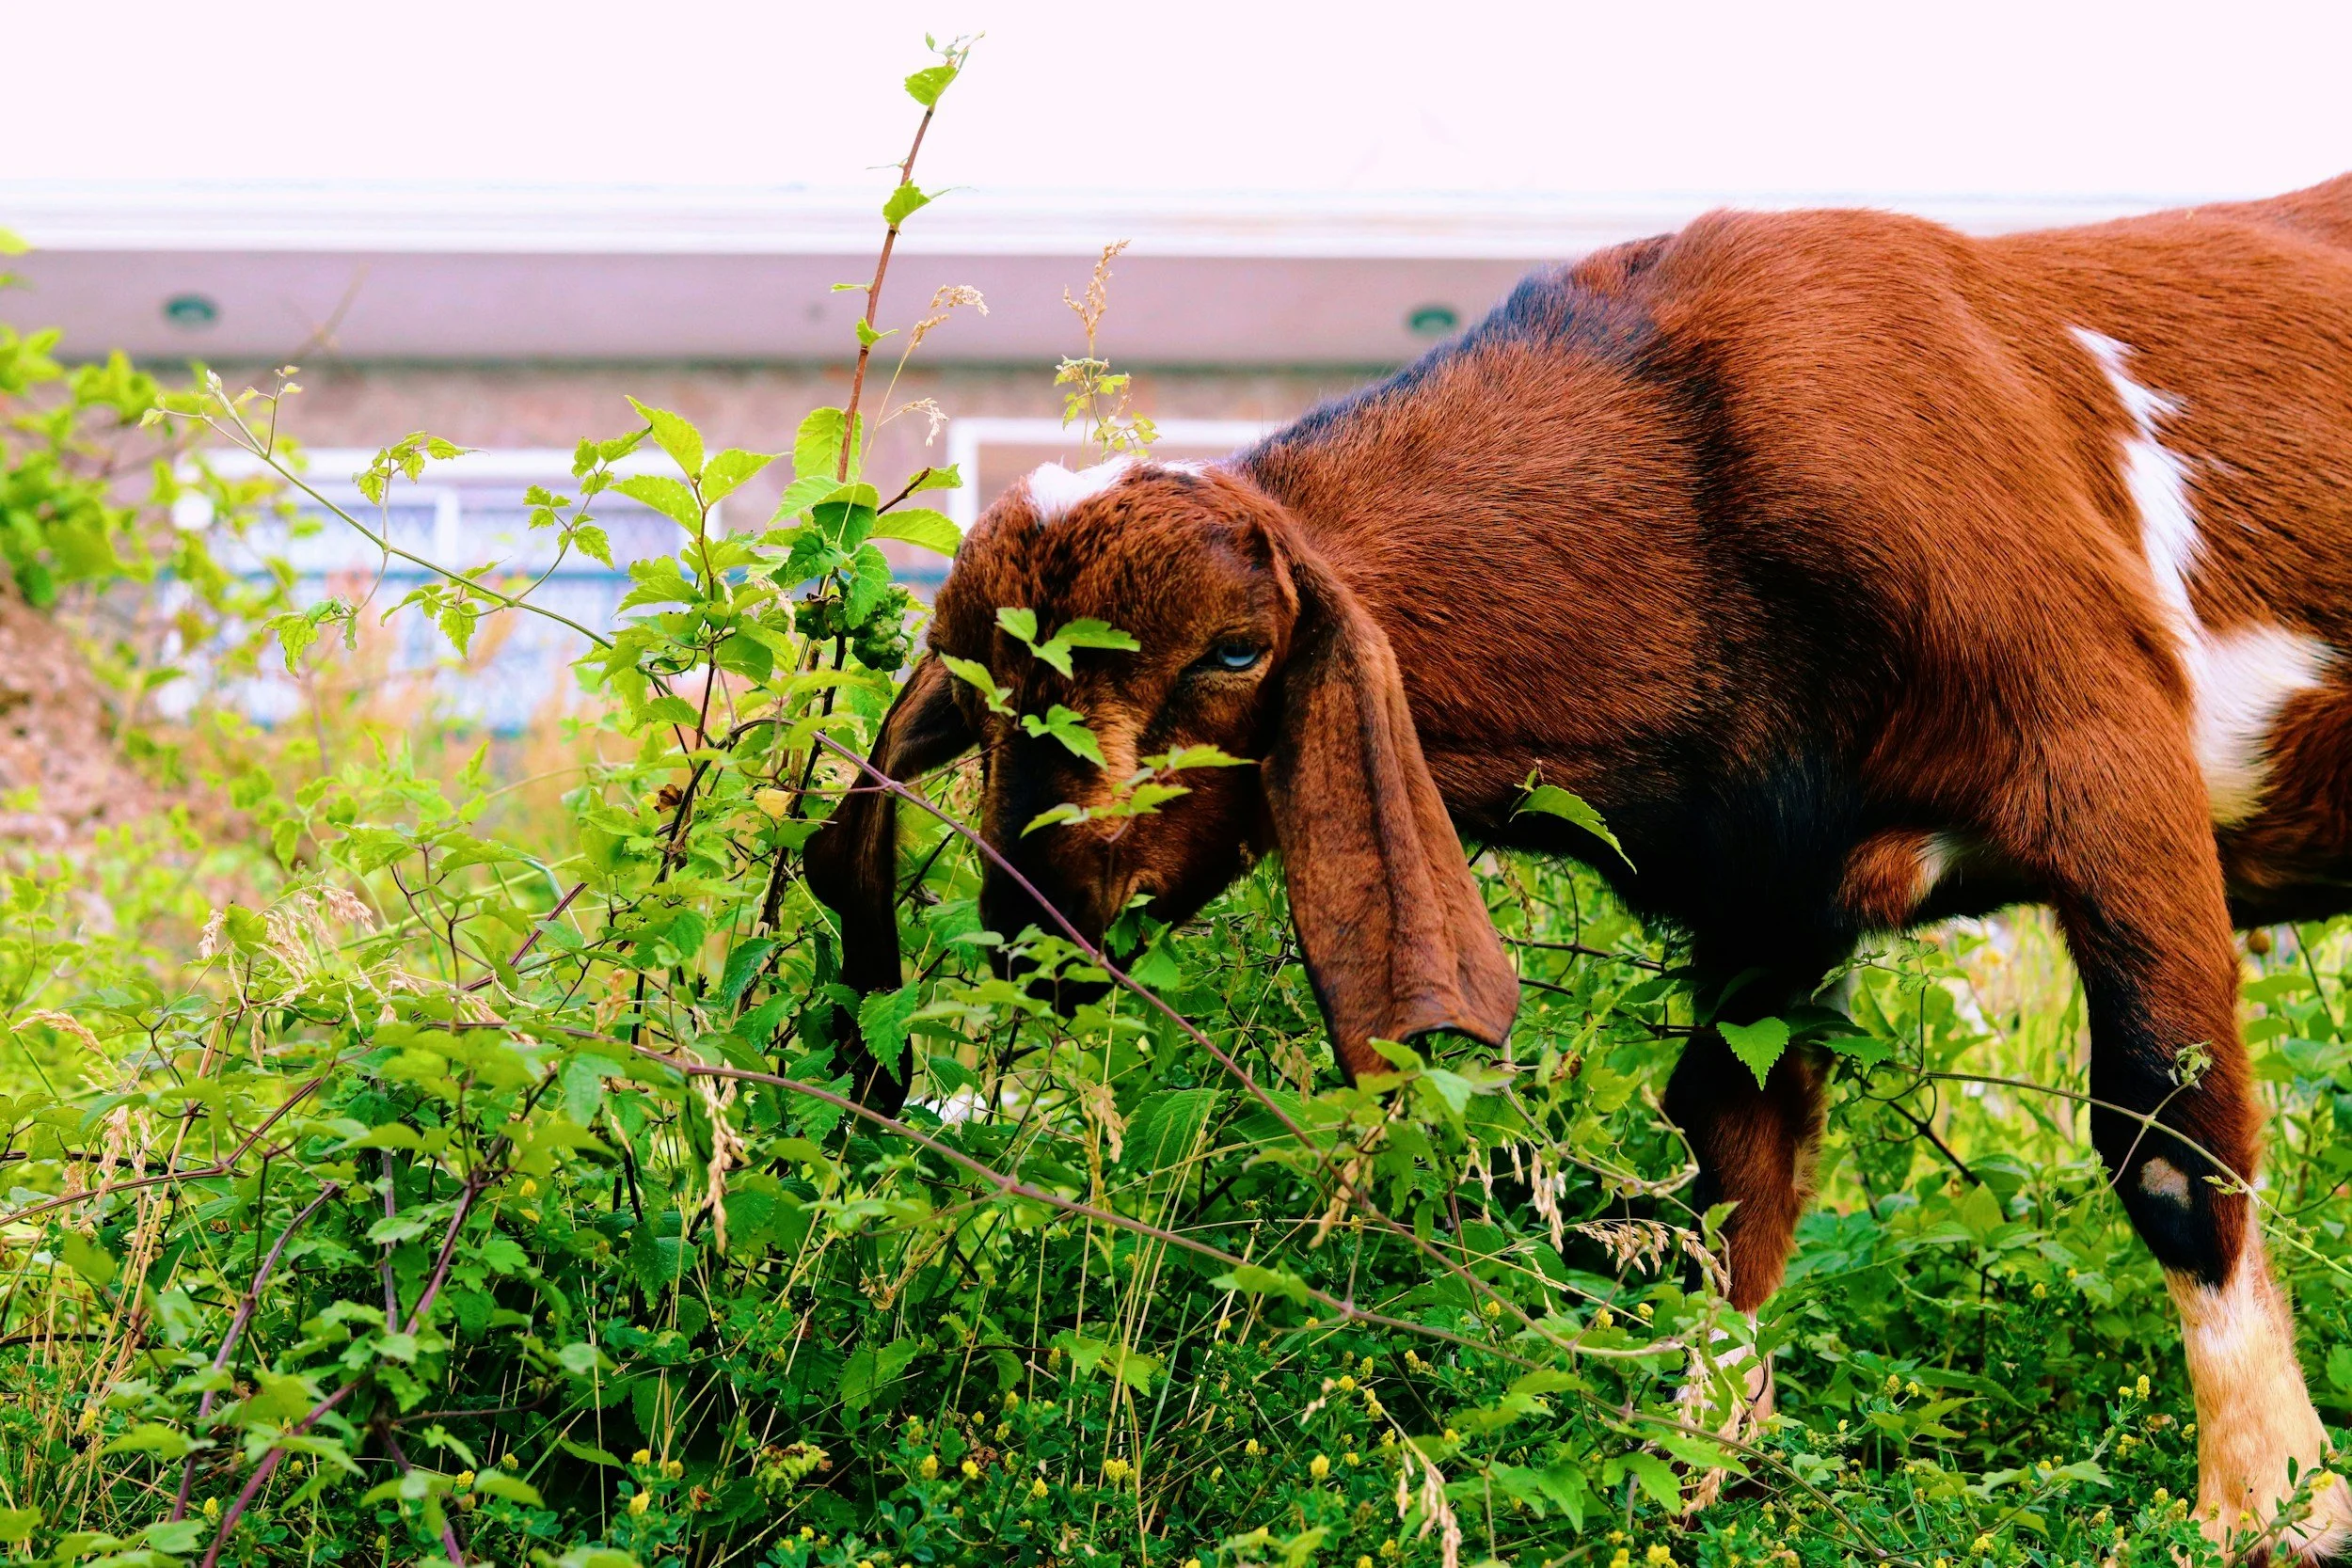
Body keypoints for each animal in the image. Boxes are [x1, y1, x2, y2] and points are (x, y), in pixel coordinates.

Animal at [806, 173, 2352, 1558]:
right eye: (976, 686)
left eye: (1238, 650)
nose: (1036, 908)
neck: (1707, 481)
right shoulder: (1767, 896)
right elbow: (1728, 1166)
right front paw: (1693, 1472)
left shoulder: (2112, 766)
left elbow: (2169, 1129)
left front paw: (2271, 1505)